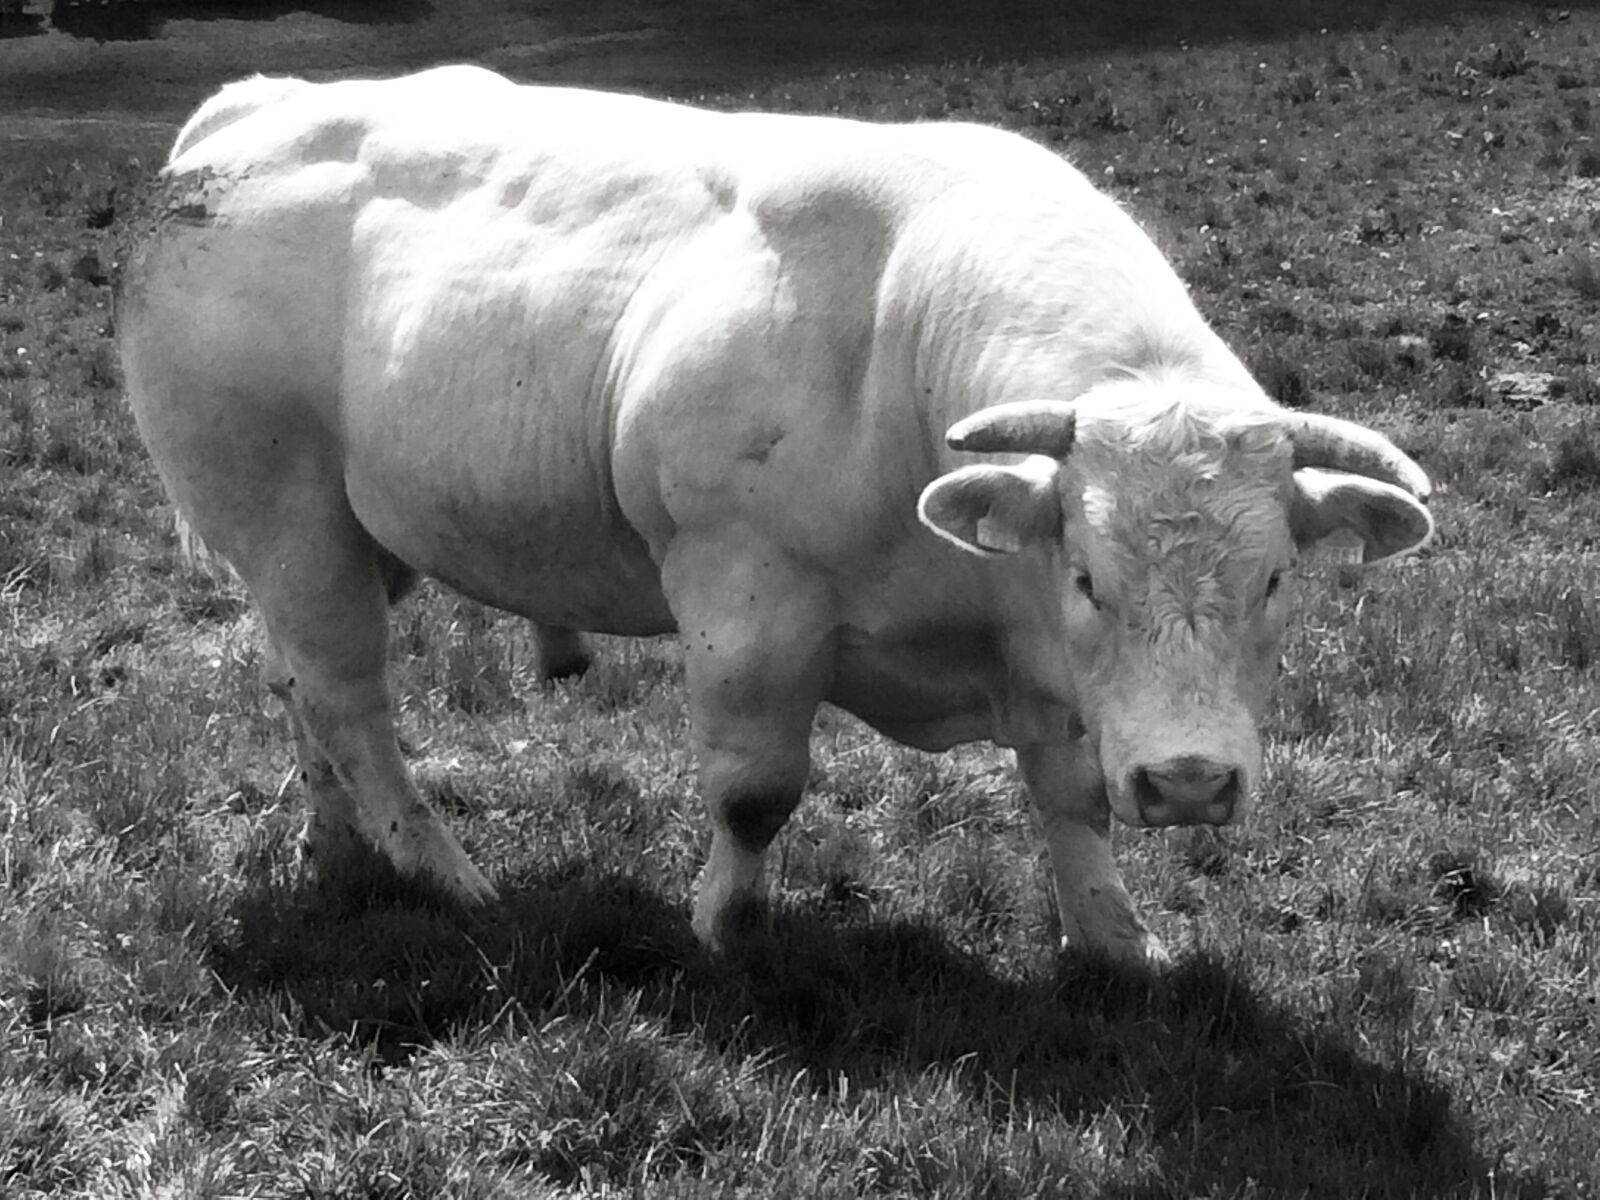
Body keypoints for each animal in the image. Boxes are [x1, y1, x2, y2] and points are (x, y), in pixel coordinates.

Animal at [120, 66, 1433, 967]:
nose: (1190, 784)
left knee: (297, 687)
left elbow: (1069, 794)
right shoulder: (746, 599)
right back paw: (442, 870)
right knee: (349, 698)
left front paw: (1114, 936)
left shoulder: (1044, 666)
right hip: (284, 515)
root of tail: (246, 114)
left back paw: (341, 850)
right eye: (1089, 578)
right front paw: (725, 923)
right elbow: (755, 791)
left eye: (1275, 582)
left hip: (348, 535)